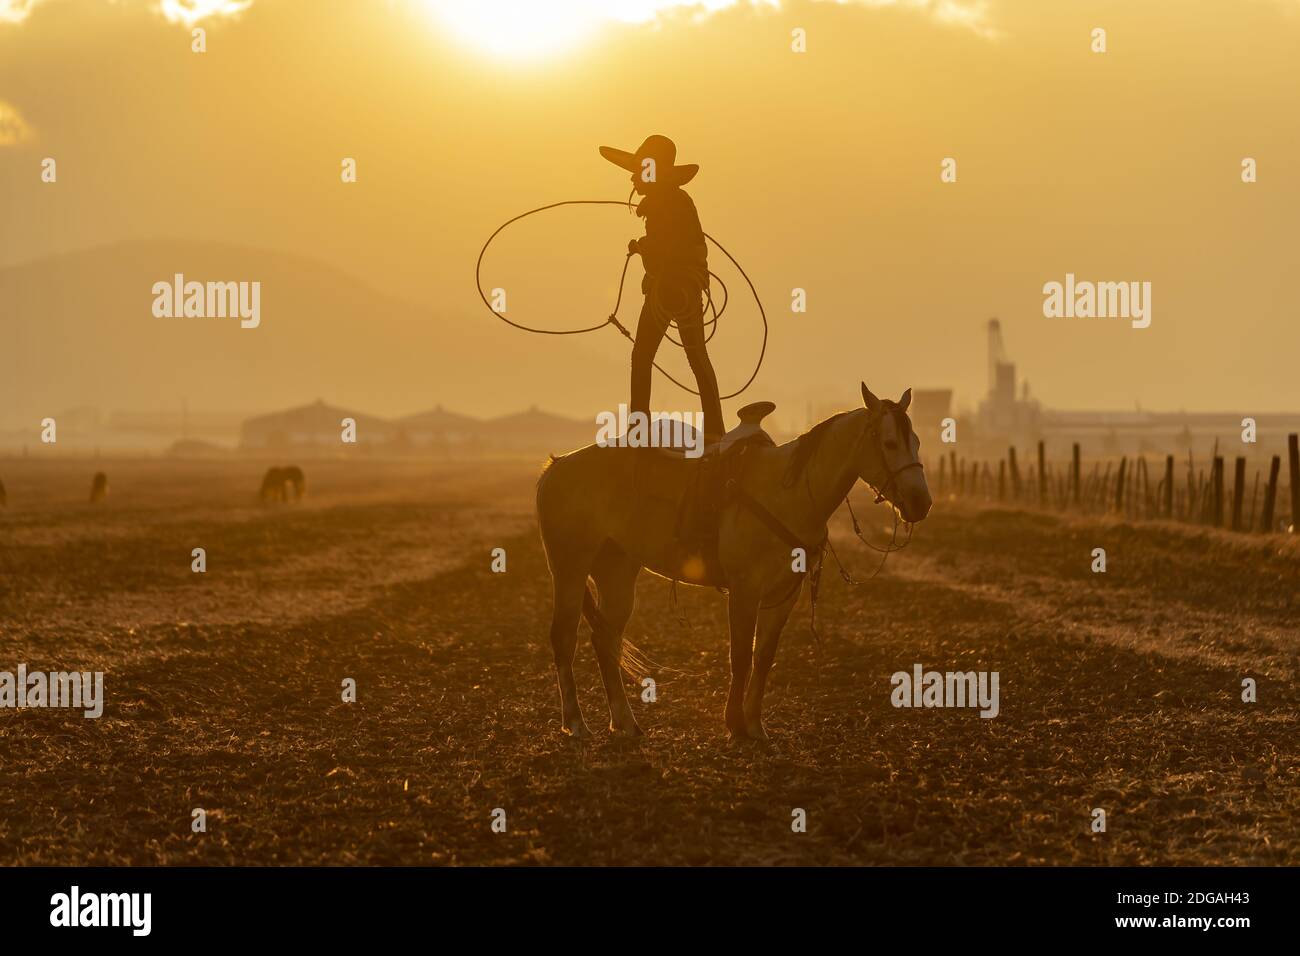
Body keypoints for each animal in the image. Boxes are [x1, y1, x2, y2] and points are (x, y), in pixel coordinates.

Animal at [538, 382, 935, 738]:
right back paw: (575, 723)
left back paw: (625, 723)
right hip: (570, 568)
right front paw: (734, 724)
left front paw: (756, 725)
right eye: (889, 443)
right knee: (564, 638)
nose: (921, 502)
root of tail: (555, 467)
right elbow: (740, 656)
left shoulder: (783, 594)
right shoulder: (745, 590)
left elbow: (763, 657)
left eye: (917, 441)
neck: (785, 493)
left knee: (606, 640)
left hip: (616, 570)